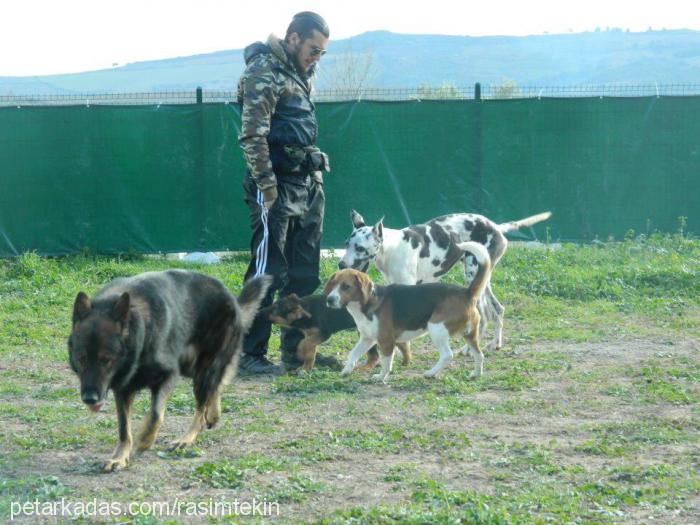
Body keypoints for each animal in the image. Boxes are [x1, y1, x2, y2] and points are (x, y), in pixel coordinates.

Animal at [68, 270, 270, 470]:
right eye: (81, 359)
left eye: (106, 360)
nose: (90, 398)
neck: (141, 335)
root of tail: (232, 299)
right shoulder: (123, 388)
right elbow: (124, 428)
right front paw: (120, 457)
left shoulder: (168, 376)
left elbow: (156, 415)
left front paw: (144, 440)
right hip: (192, 369)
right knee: (216, 387)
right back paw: (213, 414)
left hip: (203, 370)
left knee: (202, 405)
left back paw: (186, 439)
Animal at [340, 209, 552, 352]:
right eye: (346, 244)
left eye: (360, 248)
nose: (341, 264)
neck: (391, 248)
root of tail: (496, 227)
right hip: (484, 283)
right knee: (497, 310)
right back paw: (495, 344)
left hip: (473, 275)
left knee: (484, 315)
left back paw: (470, 349)